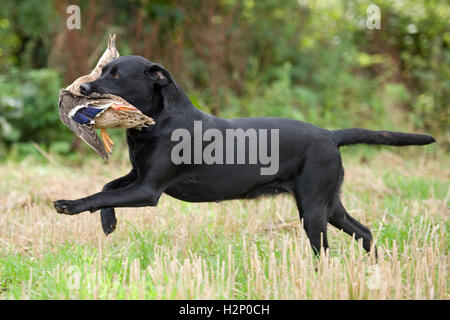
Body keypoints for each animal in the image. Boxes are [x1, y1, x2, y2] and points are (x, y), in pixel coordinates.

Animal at [53, 55, 436, 255]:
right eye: (103, 70)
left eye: (117, 75)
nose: (82, 88)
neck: (159, 119)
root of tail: (331, 135)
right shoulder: (139, 176)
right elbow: (107, 187)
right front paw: (109, 222)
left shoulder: (148, 190)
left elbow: (97, 195)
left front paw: (69, 205)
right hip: (328, 204)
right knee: (364, 231)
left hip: (313, 208)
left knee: (324, 249)